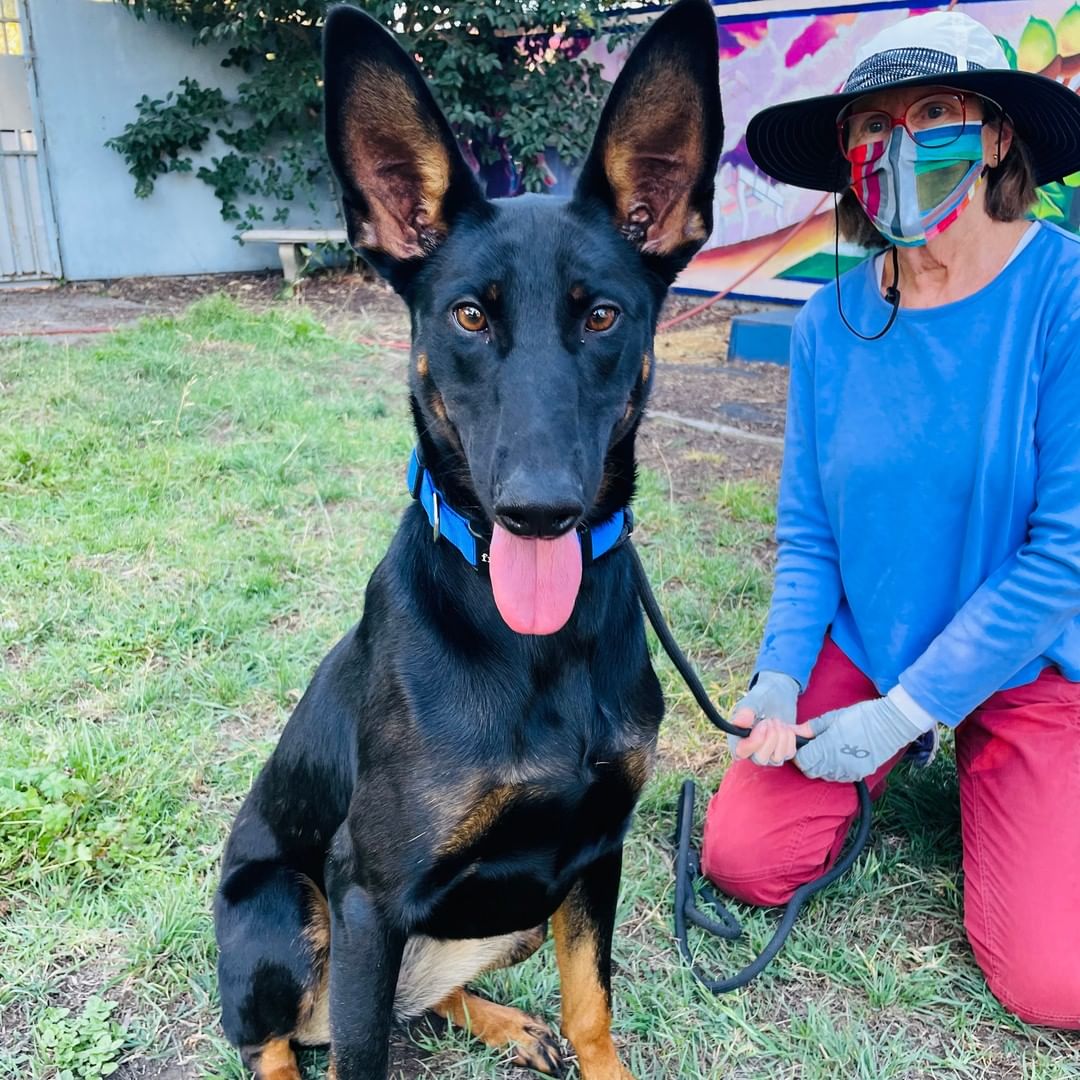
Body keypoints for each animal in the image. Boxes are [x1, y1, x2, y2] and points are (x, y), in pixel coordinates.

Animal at [211, 4, 721, 1075]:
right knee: (277, 1039)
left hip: (509, 911)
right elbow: (362, 1057)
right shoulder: (369, 893)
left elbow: (591, 1001)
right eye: (470, 316)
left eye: (603, 314)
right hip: (285, 910)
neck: (536, 646)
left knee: (425, 996)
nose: (540, 510)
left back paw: (502, 1021)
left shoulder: (593, 853)